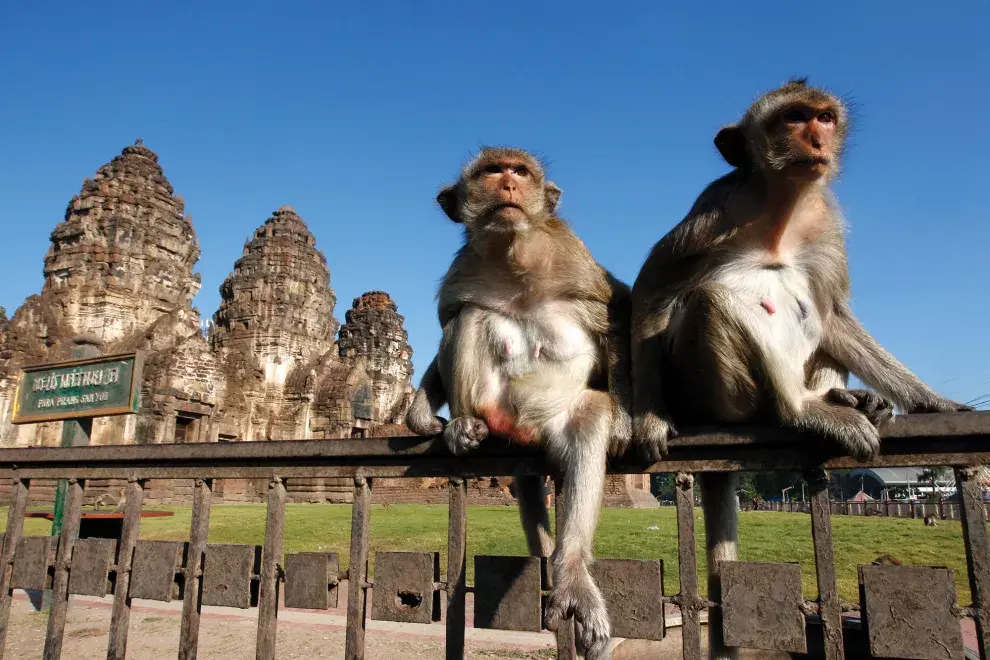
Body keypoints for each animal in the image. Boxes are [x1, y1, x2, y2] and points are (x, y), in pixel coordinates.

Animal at [405, 147, 632, 659]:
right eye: (492, 171)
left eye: (520, 171)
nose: (508, 184)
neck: (514, 258)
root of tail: (521, 430)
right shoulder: (463, 269)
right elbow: (452, 316)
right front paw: (421, 411)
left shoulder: (574, 256)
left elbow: (617, 313)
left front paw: (629, 419)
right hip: (495, 405)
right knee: (471, 316)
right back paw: (464, 425)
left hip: (556, 421)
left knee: (589, 419)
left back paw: (572, 575)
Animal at [630, 79, 971, 660]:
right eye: (792, 119)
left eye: (824, 118)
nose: (816, 139)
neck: (782, 209)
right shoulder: (717, 207)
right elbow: (653, 289)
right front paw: (650, 418)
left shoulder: (824, 222)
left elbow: (834, 317)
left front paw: (932, 400)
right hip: (714, 391)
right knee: (712, 299)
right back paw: (801, 411)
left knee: (816, 314)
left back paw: (849, 399)